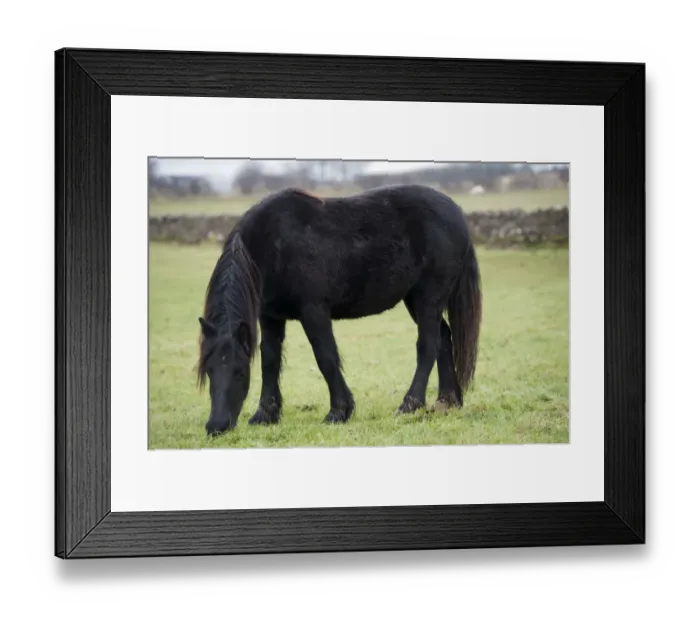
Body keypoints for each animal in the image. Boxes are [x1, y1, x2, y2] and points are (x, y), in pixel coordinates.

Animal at [196, 184, 482, 436]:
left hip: (428, 298)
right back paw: (447, 401)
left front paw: (339, 411)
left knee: (427, 346)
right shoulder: (270, 317)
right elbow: (270, 360)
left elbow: (325, 356)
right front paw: (265, 414)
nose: (216, 427)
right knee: (443, 339)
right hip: (415, 300)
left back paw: (409, 404)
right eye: (209, 370)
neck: (274, 241)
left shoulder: (313, 310)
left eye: (240, 372)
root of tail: (456, 212)